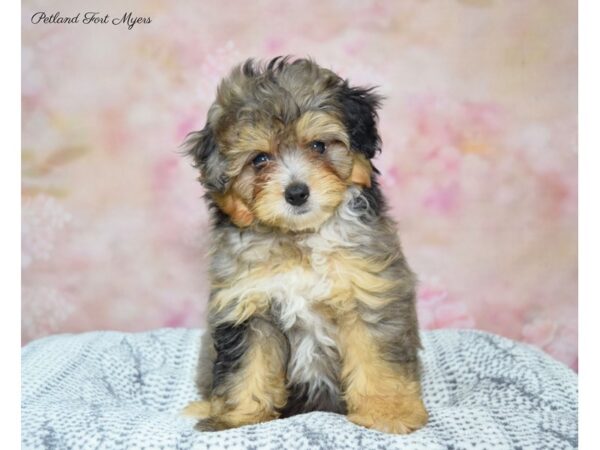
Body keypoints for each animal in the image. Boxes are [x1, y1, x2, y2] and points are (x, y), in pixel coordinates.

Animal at [183, 56, 426, 432]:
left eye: (318, 146)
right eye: (259, 159)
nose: (296, 193)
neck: (300, 241)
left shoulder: (368, 293)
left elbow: (376, 358)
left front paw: (388, 412)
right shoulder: (248, 306)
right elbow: (248, 366)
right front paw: (238, 418)